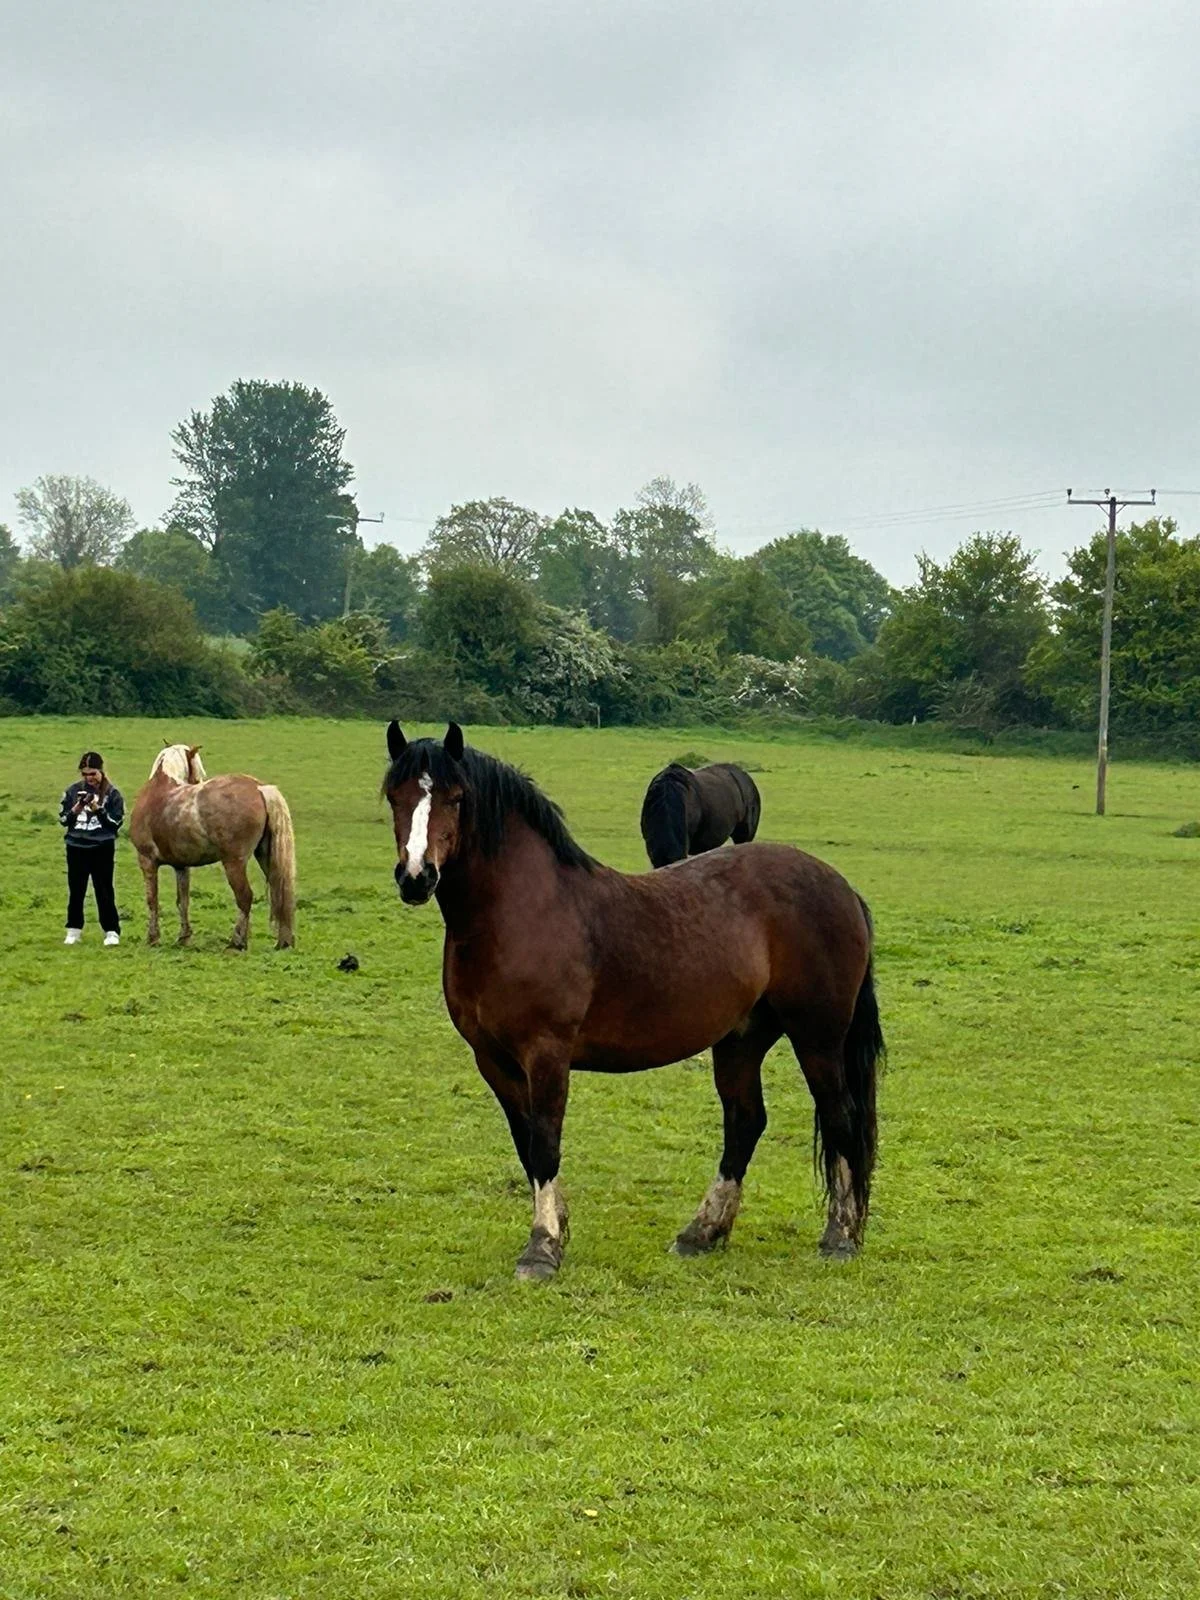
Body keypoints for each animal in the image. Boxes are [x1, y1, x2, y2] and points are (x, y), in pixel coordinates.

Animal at [129, 744, 297, 950]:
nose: (198, 781)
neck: (158, 789)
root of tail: (258, 788)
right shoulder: (181, 866)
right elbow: (183, 901)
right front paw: (184, 937)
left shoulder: (147, 861)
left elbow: (152, 899)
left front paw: (153, 937)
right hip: (266, 856)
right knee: (279, 892)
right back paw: (283, 941)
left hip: (234, 863)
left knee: (245, 896)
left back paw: (237, 942)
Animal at [383, 721, 883, 1281]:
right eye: (395, 796)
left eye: (456, 797)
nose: (416, 877)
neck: (523, 912)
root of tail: (842, 888)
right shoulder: (493, 1061)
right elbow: (526, 1144)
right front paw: (558, 1229)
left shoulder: (547, 1054)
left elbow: (545, 1143)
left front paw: (542, 1248)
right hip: (742, 1039)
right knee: (745, 1123)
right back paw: (702, 1233)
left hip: (818, 1037)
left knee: (840, 1117)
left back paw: (840, 1236)